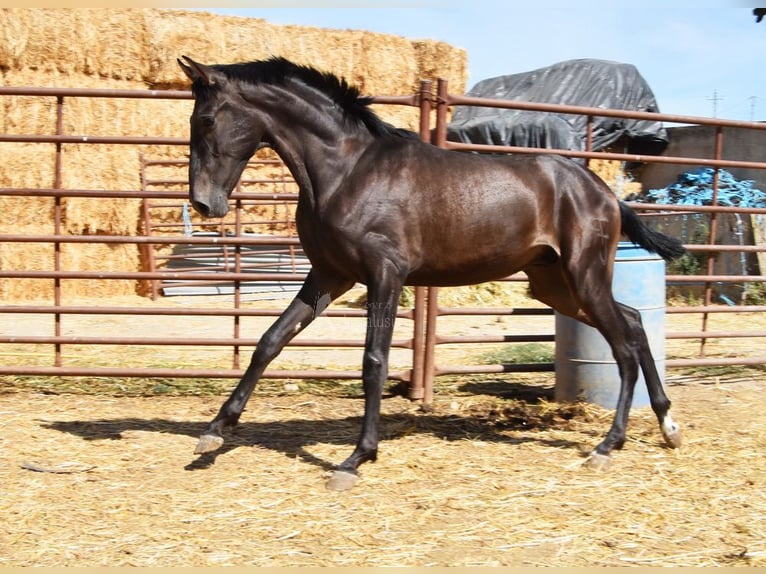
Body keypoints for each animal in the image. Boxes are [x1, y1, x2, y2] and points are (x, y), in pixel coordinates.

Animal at [177, 56, 688, 492]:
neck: (346, 172)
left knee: (623, 345)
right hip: (556, 286)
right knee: (635, 322)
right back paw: (667, 426)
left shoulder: (384, 274)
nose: (204, 203)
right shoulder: (327, 276)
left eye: (206, 120)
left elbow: (374, 362)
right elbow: (269, 341)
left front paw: (356, 459)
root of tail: (603, 191)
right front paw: (214, 433)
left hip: (582, 276)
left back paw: (608, 446)